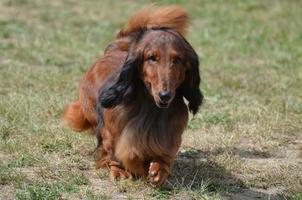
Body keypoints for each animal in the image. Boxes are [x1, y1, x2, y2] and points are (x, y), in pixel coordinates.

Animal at [62, 5, 203, 187]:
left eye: (177, 59)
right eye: (152, 57)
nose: (165, 95)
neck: (151, 109)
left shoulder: (170, 137)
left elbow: (164, 157)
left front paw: (159, 171)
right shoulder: (111, 134)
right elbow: (114, 153)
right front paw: (120, 171)